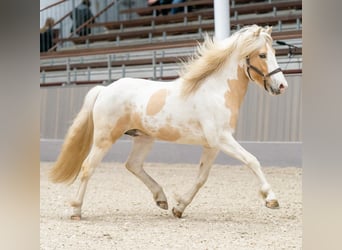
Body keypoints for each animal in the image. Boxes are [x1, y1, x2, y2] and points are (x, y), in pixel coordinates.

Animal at [49, 24, 288, 219]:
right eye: (262, 55)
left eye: (274, 53)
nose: (282, 86)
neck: (216, 91)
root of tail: (105, 89)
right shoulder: (222, 139)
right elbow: (252, 160)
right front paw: (271, 198)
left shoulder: (212, 145)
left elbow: (201, 177)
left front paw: (179, 207)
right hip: (104, 138)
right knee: (88, 167)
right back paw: (76, 210)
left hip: (143, 138)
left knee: (133, 165)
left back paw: (161, 199)